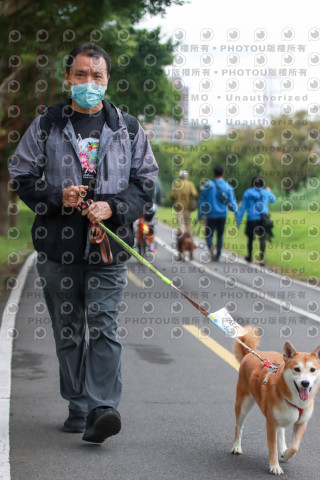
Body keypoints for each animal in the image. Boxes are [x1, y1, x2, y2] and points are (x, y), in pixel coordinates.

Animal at [231, 328, 320, 474]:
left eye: (313, 369)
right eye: (297, 369)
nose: (305, 383)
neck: (294, 400)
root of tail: (252, 353)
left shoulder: (301, 422)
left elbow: (294, 447)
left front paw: (286, 454)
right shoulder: (271, 423)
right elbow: (272, 448)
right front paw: (274, 466)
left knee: (282, 432)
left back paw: (283, 448)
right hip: (243, 403)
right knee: (239, 426)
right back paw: (236, 446)